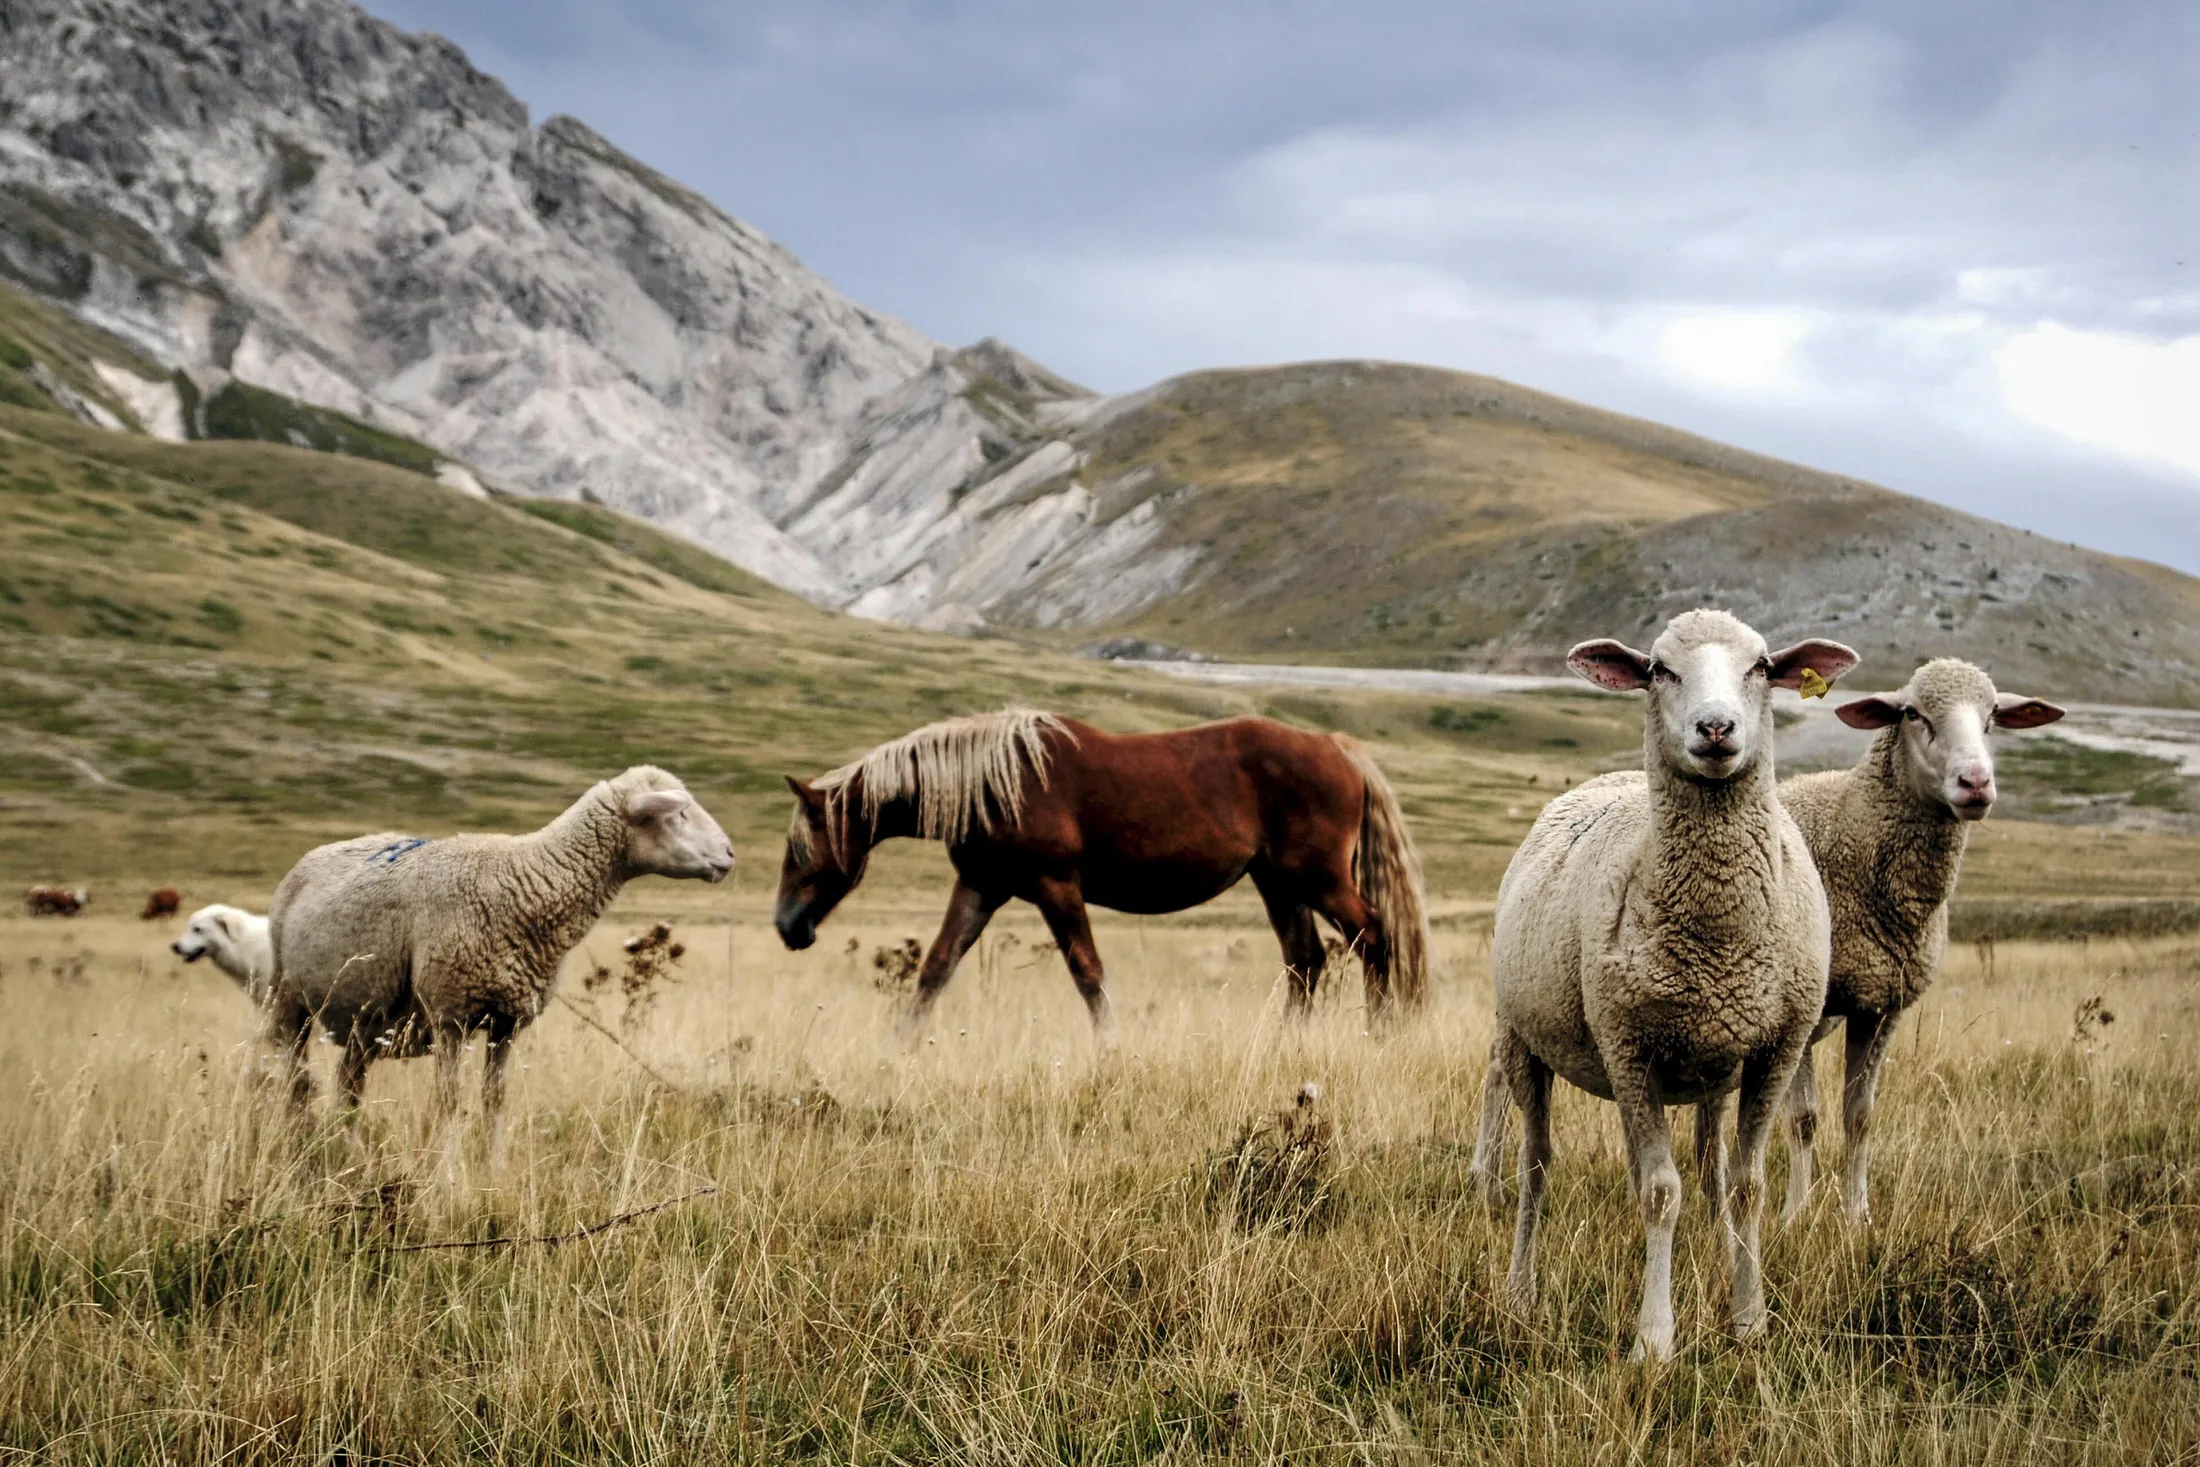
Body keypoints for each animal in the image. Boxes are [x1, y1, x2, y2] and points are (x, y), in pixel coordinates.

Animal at [265, 766, 734, 1157]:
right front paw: (447, 1178)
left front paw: (493, 1167)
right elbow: (449, 1101)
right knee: (294, 1078)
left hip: (365, 1021)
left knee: (347, 1086)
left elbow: (494, 1100)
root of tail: (317, 854)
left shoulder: (508, 1021)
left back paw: (347, 1152)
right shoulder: (449, 1015)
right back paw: (293, 1142)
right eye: (679, 814)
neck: (528, 880)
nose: (730, 854)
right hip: (287, 996)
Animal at [1467, 609, 1856, 1360]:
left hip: (1705, 1065)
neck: (1719, 933)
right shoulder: (1628, 1047)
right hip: (1521, 1037)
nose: (1716, 727)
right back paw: (1521, 1291)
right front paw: (1655, 1338)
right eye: (1659, 669)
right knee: (1535, 1164)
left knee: (1707, 1170)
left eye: (1762, 666)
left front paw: (1748, 1317)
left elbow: (1746, 1185)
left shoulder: (1776, 1048)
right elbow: (1659, 1193)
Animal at [1770, 658, 2064, 1226]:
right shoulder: (1807, 1009)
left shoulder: (1882, 1004)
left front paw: (1856, 1218)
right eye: (1912, 713)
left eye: (1992, 716)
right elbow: (1804, 1119)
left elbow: (1859, 1116)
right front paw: (1795, 1216)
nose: (1976, 781)